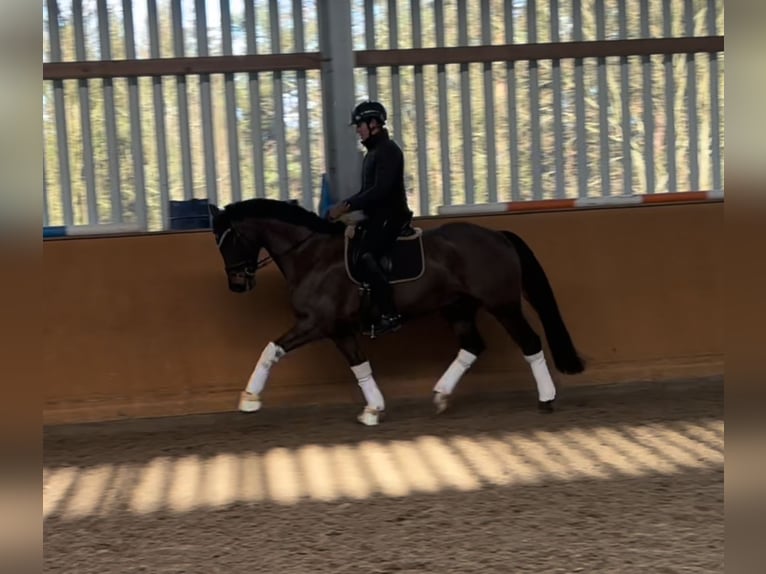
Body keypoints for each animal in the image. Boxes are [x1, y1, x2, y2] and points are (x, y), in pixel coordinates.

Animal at [207, 198, 584, 428]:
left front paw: (249, 399)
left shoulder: (317, 324)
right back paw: (440, 395)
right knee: (473, 346)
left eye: (229, 239)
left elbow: (271, 349)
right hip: (458, 308)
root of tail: (498, 235)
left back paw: (546, 399)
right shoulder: (338, 329)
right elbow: (359, 365)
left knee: (530, 343)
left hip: (502, 305)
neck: (311, 255)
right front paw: (374, 408)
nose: (238, 284)